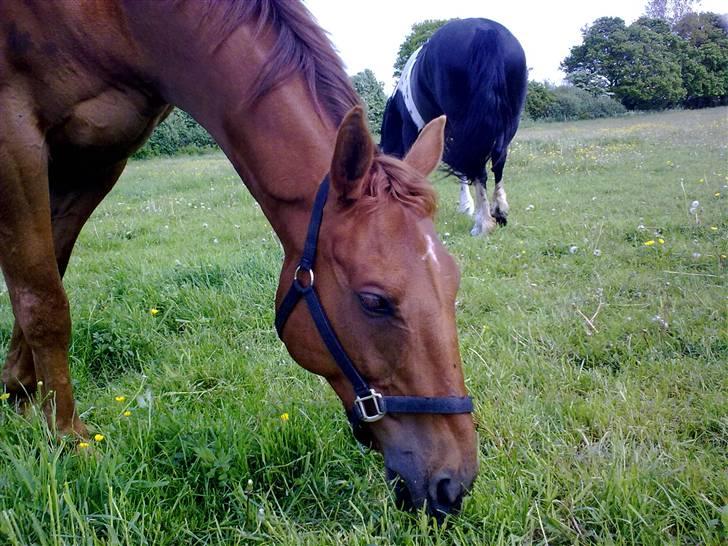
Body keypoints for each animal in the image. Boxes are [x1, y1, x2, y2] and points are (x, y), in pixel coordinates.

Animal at [1, 0, 478, 516]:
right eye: (374, 300)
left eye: (453, 281)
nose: (454, 483)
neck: (122, 24)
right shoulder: (16, 137)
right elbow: (44, 300)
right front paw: (67, 436)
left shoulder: (99, 159)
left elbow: (47, 274)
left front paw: (21, 396)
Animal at [378, 18, 528, 235]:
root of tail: (486, 31)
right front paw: (466, 207)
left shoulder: (414, 131)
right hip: (506, 122)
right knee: (498, 160)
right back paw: (498, 213)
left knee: (478, 165)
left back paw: (482, 224)